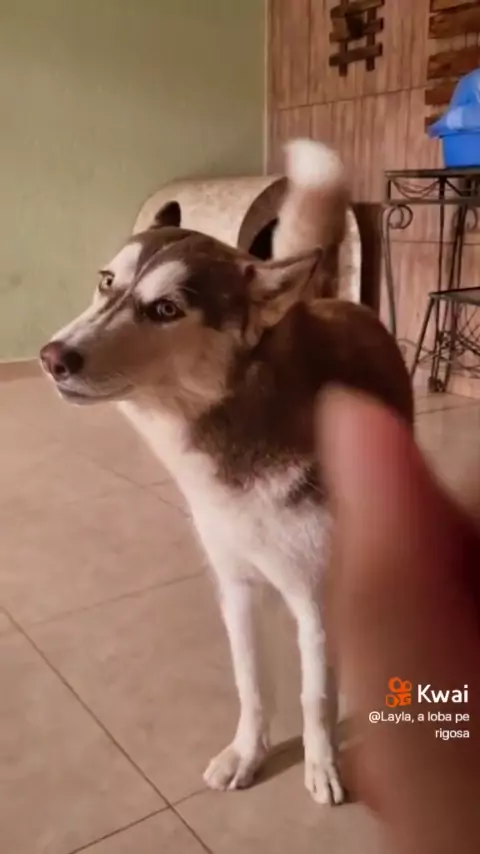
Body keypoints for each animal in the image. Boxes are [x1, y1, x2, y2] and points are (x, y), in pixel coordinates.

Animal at [40, 140, 413, 805]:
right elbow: (252, 684)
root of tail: (334, 296)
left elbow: (314, 695)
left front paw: (322, 766)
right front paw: (248, 753)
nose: (52, 357)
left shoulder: (315, 597)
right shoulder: (235, 586)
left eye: (166, 308)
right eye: (107, 283)